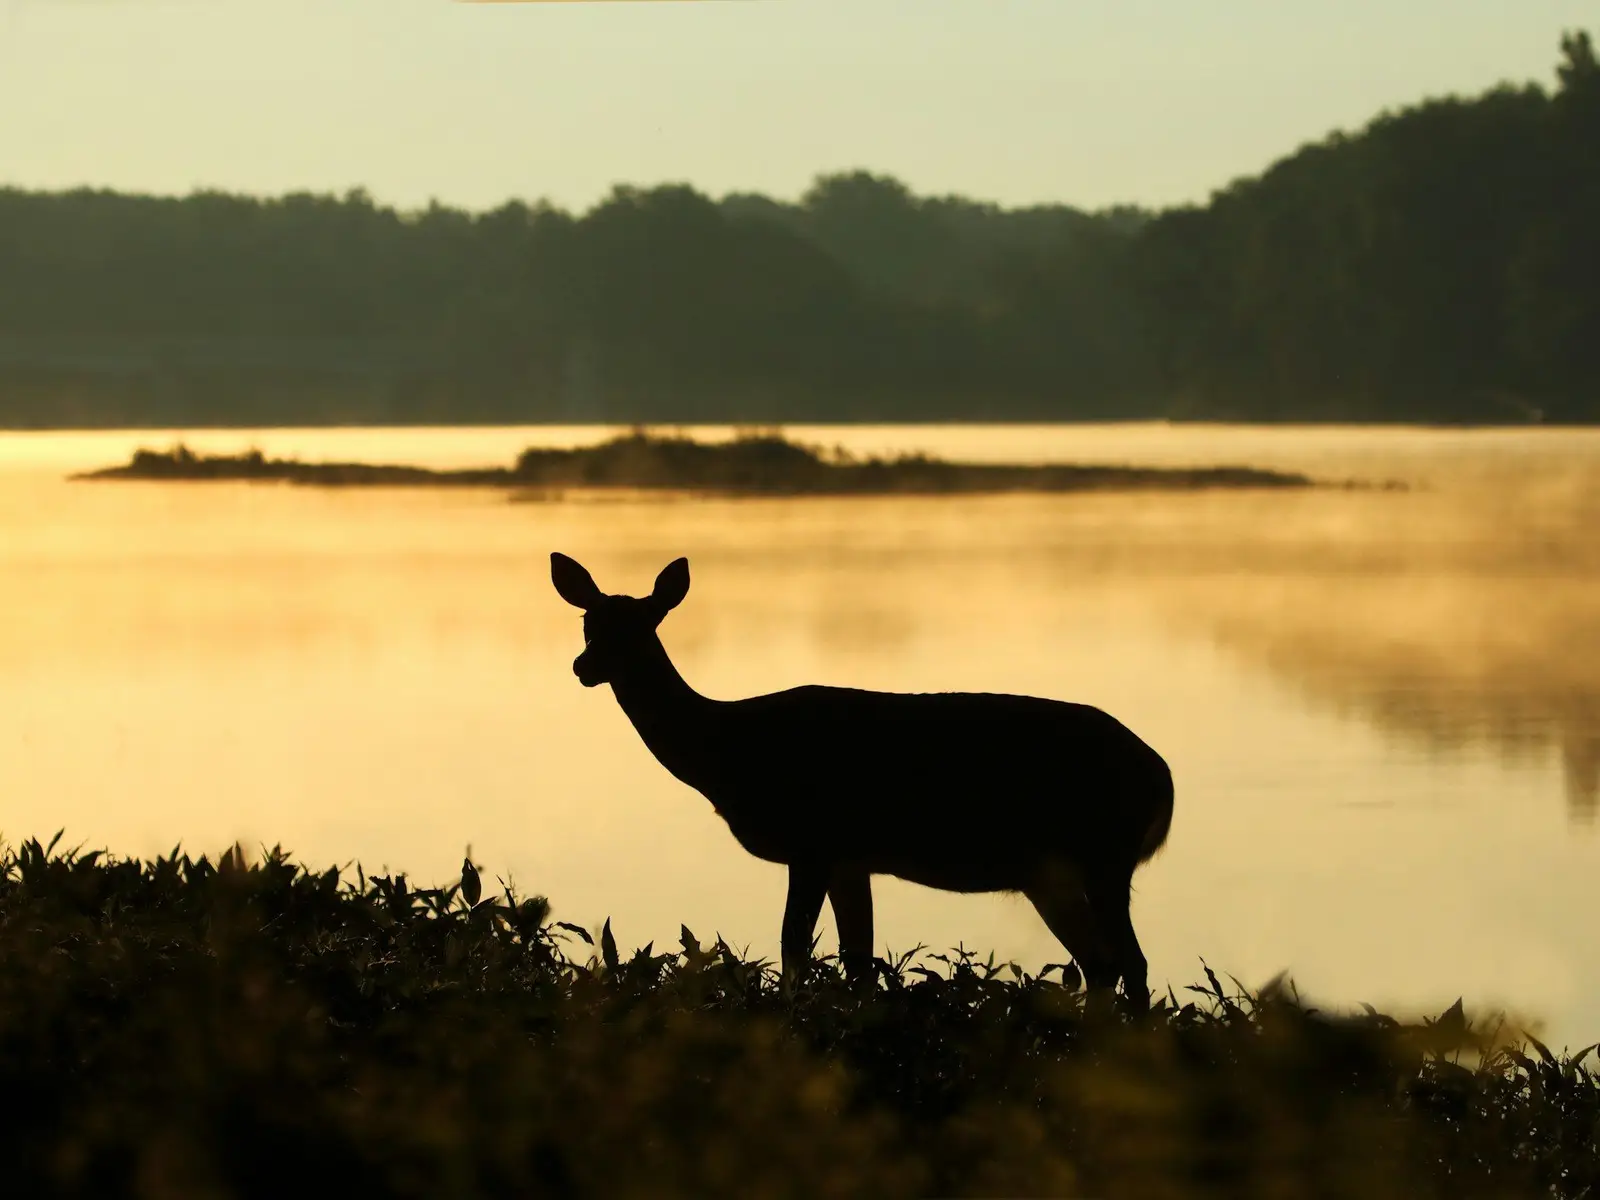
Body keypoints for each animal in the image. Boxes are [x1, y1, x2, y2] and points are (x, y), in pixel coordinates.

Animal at [550, 552, 1174, 1009]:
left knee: (1131, 961)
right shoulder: (851, 859)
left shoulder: (812, 841)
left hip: (1104, 852)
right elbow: (858, 962)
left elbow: (795, 948)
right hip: (1049, 872)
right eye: (587, 622)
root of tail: (1163, 778)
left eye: (641, 627)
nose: (582, 667)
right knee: (1102, 963)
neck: (731, 751)